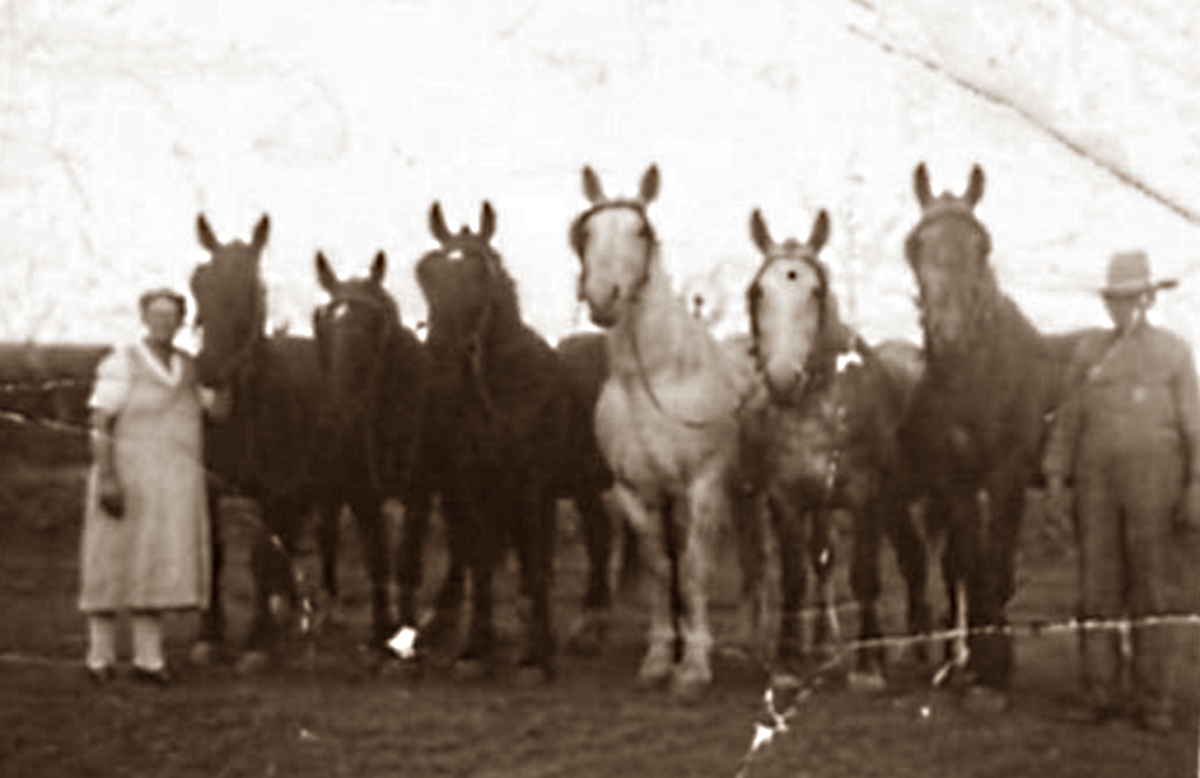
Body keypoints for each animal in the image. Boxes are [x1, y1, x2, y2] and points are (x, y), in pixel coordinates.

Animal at [411, 200, 580, 682]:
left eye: (480, 274)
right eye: (426, 272)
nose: (442, 353)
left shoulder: (530, 483)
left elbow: (532, 562)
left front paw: (533, 657)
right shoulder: (465, 480)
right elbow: (479, 560)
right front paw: (473, 649)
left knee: (540, 559)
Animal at [569, 164, 763, 699]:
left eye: (640, 231)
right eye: (587, 232)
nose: (603, 297)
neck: (655, 381)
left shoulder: (702, 488)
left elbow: (693, 571)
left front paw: (693, 668)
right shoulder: (636, 493)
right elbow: (661, 570)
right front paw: (659, 658)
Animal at [742, 207, 930, 686]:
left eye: (815, 291)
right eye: (757, 291)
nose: (782, 378)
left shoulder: (866, 499)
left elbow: (863, 575)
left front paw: (868, 668)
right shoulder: (788, 500)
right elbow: (795, 577)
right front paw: (788, 663)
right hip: (890, 504)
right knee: (908, 558)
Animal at [898, 163, 1081, 707]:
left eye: (982, 244)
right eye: (915, 244)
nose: (950, 335)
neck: (976, 377)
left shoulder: (1006, 476)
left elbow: (996, 561)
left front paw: (996, 669)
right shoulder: (955, 480)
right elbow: (970, 562)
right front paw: (979, 666)